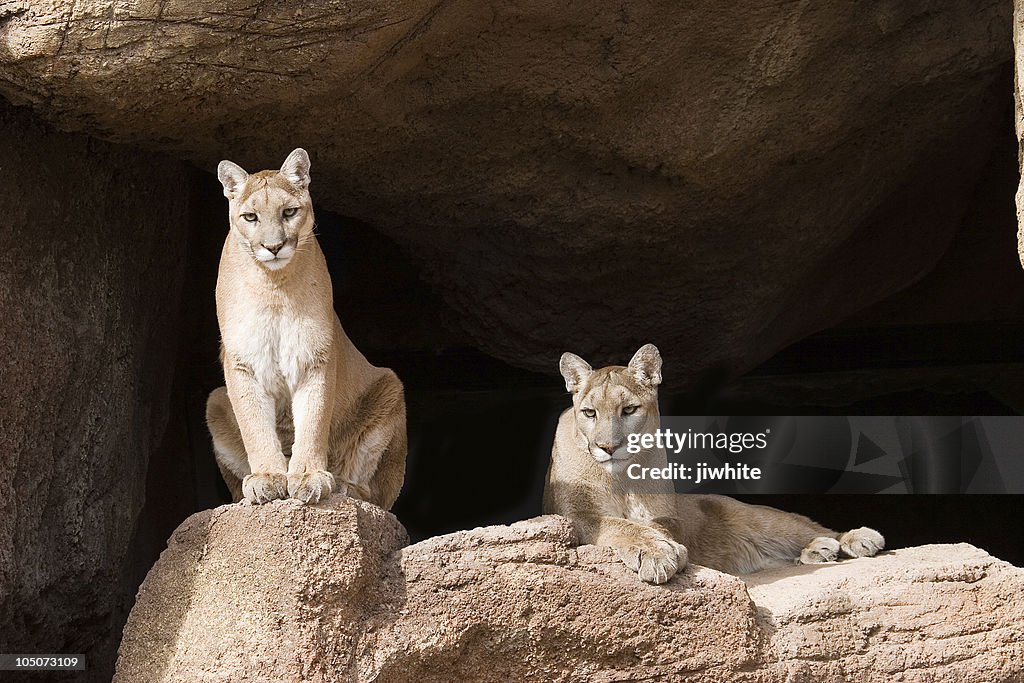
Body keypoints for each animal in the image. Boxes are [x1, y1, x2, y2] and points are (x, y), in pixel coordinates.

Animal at [205, 150, 405, 511]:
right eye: (251, 217)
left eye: (289, 212)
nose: (273, 247)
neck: (274, 285)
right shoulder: (242, 363)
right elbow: (255, 426)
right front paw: (268, 476)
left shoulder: (315, 356)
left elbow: (313, 419)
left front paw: (309, 476)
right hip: (214, 401)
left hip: (389, 388)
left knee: (378, 497)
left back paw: (343, 485)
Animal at [540, 344, 884, 585]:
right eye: (589, 413)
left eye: (629, 410)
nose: (608, 447)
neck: (621, 478)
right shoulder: (574, 515)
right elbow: (619, 525)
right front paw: (656, 551)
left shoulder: (669, 515)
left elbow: (653, 525)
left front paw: (660, 549)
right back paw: (817, 552)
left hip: (759, 518)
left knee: (807, 525)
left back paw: (853, 539)